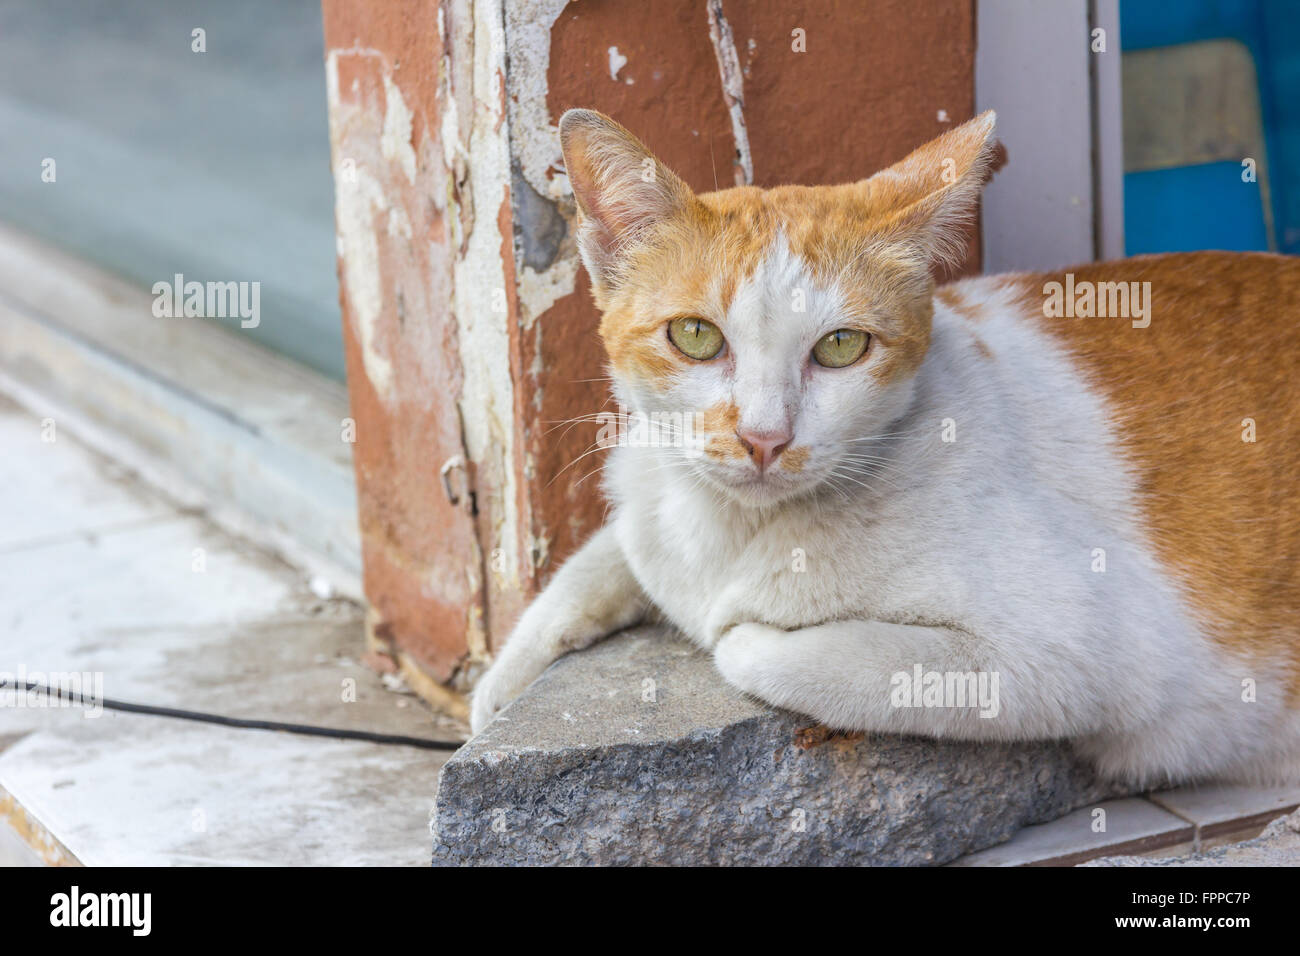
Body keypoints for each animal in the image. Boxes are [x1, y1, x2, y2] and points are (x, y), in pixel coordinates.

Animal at [470, 108, 1300, 790]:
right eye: (696, 336)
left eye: (840, 347)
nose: (764, 437)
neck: (728, 533)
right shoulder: (647, 489)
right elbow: (603, 555)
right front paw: (503, 679)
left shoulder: (1083, 657)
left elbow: (759, 647)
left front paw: (739, 627)